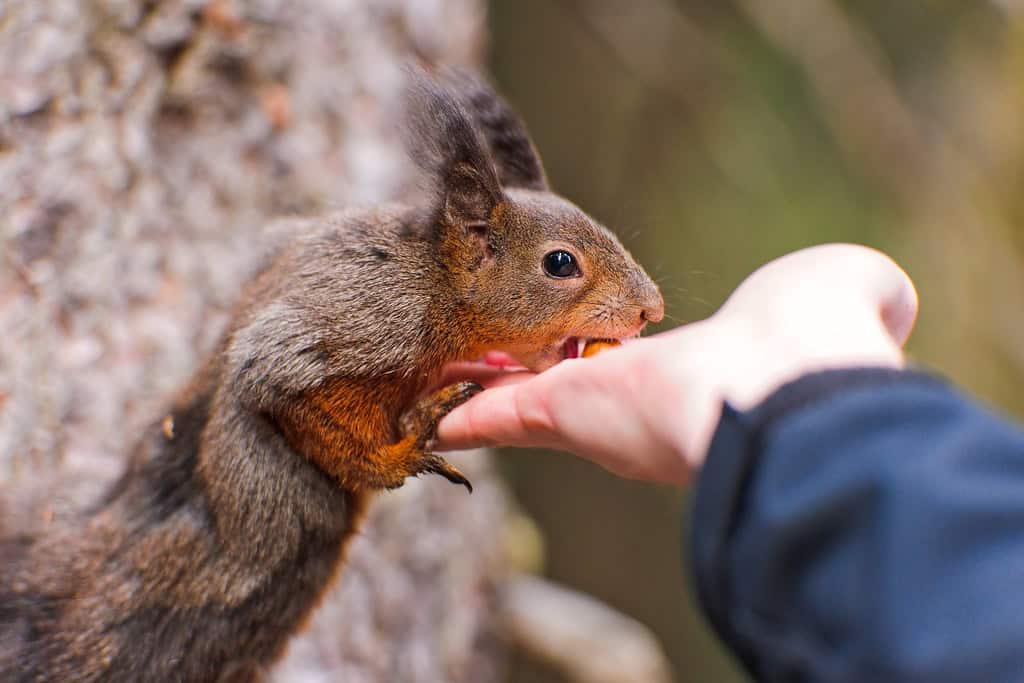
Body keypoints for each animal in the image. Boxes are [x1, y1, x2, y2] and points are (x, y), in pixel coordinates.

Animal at [0, 66, 664, 682]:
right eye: (560, 264)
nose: (651, 309)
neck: (435, 285)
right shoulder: (361, 323)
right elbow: (275, 379)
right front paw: (401, 452)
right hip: (282, 493)